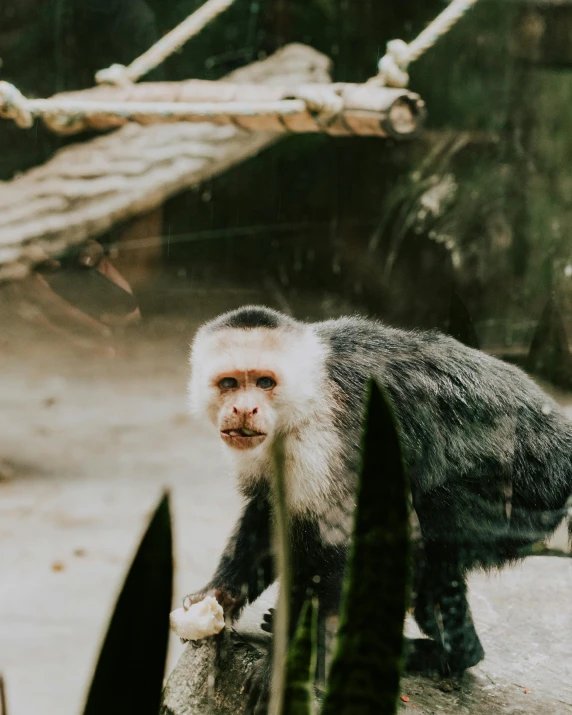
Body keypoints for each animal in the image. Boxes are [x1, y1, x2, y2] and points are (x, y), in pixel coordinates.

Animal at [184, 304, 572, 712]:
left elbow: (336, 545)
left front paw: (287, 664)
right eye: (229, 384)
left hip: (523, 492)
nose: (245, 409)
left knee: (421, 529)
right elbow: (268, 514)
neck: (306, 396)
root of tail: (562, 440)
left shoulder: (323, 437)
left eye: (264, 383)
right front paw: (217, 599)